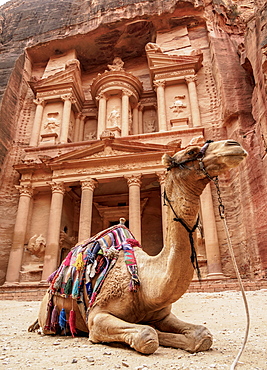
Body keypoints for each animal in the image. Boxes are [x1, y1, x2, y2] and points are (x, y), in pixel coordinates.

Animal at [30, 139, 248, 356]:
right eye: (191, 152)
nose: (233, 145)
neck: (144, 280)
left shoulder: (162, 315)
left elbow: (202, 335)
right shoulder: (97, 316)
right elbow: (147, 334)